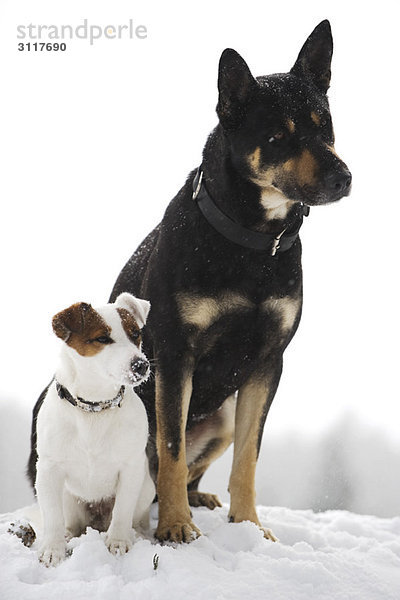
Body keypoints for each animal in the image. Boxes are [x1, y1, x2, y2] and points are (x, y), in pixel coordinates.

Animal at [34, 292, 155, 564]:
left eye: (135, 334)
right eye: (102, 338)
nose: (141, 365)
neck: (95, 407)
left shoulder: (131, 468)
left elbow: (122, 511)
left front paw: (118, 541)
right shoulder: (48, 470)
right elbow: (52, 516)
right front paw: (53, 549)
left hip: (146, 489)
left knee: (135, 517)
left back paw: (138, 533)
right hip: (69, 498)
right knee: (71, 522)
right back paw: (69, 534)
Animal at [109, 19, 350, 544]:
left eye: (325, 126)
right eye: (278, 137)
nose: (344, 178)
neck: (251, 241)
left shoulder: (267, 362)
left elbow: (248, 459)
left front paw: (250, 527)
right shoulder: (175, 354)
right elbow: (172, 451)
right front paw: (175, 526)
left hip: (220, 418)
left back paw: (200, 499)